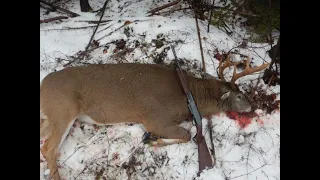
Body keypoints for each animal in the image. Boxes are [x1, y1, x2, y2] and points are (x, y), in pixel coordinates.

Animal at [40, 55, 270, 180]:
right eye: (239, 95)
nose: (251, 105)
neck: (188, 95)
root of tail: (42, 85)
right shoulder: (154, 117)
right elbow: (187, 134)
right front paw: (154, 141)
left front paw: (153, 140)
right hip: (63, 109)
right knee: (49, 148)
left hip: (51, 115)